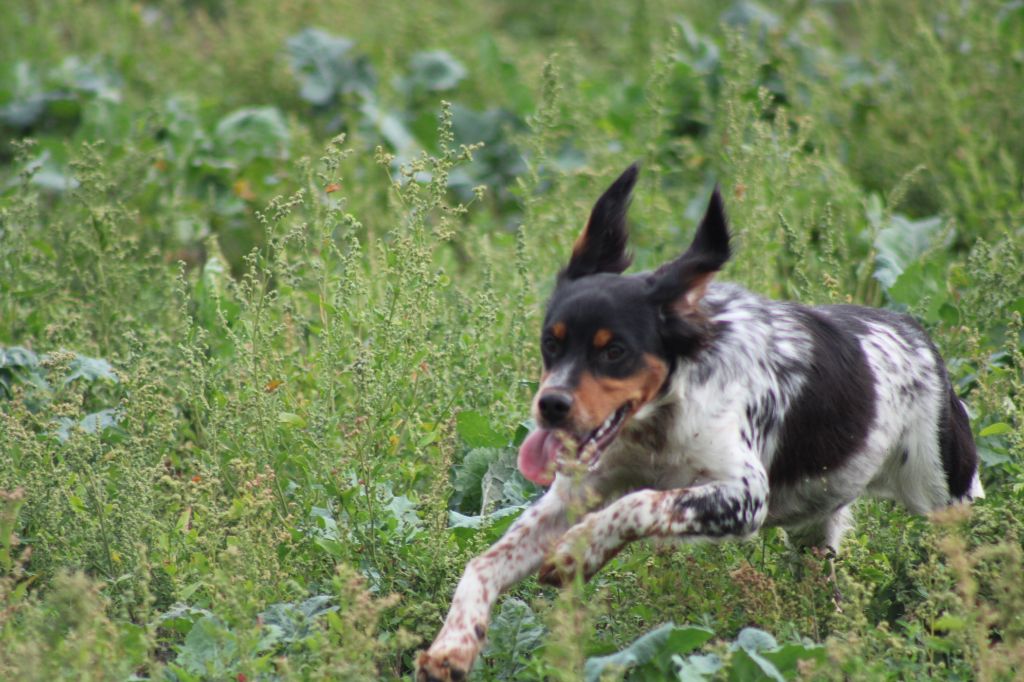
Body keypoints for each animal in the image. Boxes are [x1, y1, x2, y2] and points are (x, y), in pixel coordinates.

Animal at [415, 164, 983, 679]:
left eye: (615, 351)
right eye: (550, 343)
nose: (550, 404)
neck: (660, 420)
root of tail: (918, 334)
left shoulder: (745, 496)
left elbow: (640, 502)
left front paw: (580, 550)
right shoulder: (576, 491)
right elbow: (485, 562)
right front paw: (454, 645)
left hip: (947, 505)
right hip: (815, 532)